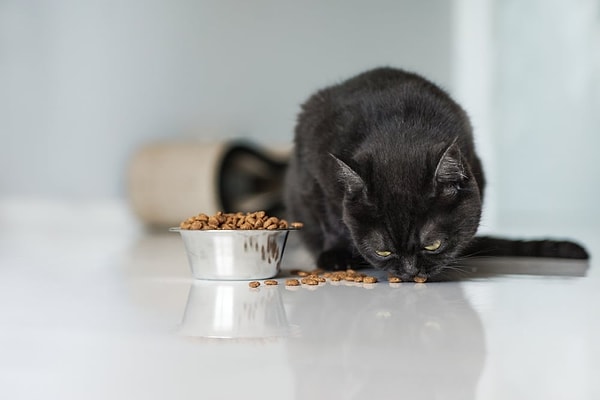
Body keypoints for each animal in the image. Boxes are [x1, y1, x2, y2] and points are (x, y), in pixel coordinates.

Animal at [284, 67, 588, 282]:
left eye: (433, 245)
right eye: (383, 250)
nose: (409, 272)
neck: (400, 130)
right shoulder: (313, 170)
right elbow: (330, 218)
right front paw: (337, 256)